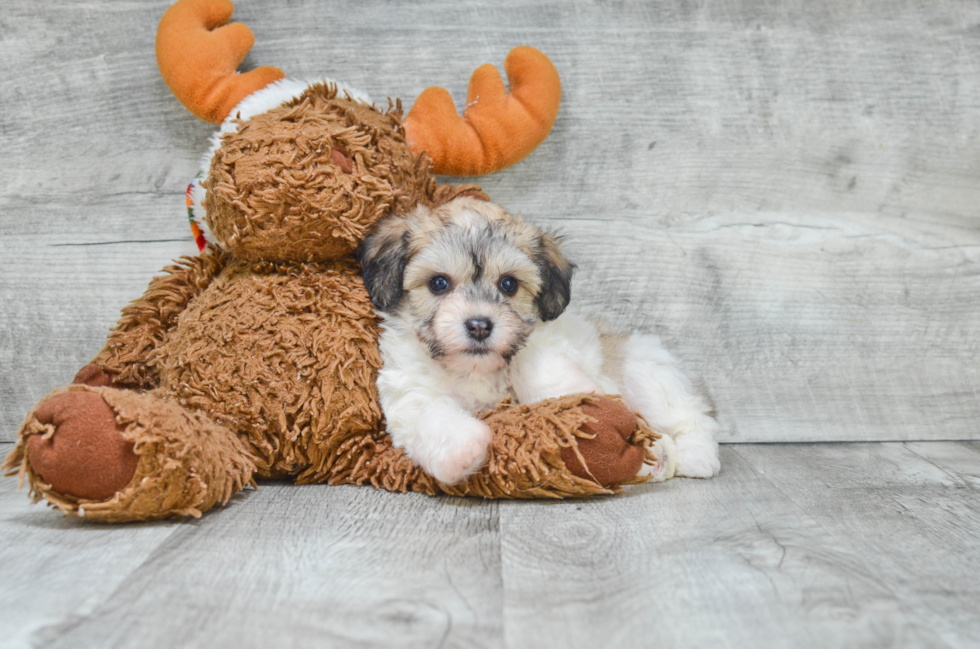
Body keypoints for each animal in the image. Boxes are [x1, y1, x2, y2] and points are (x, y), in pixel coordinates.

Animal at [360, 197, 720, 486]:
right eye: (438, 283)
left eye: (508, 284)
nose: (479, 325)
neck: (476, 371)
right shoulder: (410, 395)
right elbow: (431, 416)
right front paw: (464, 448)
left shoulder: (549, 343)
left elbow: (532, 363)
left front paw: (581, 392)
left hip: (644, 374)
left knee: (691, 417)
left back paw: (695, 457)